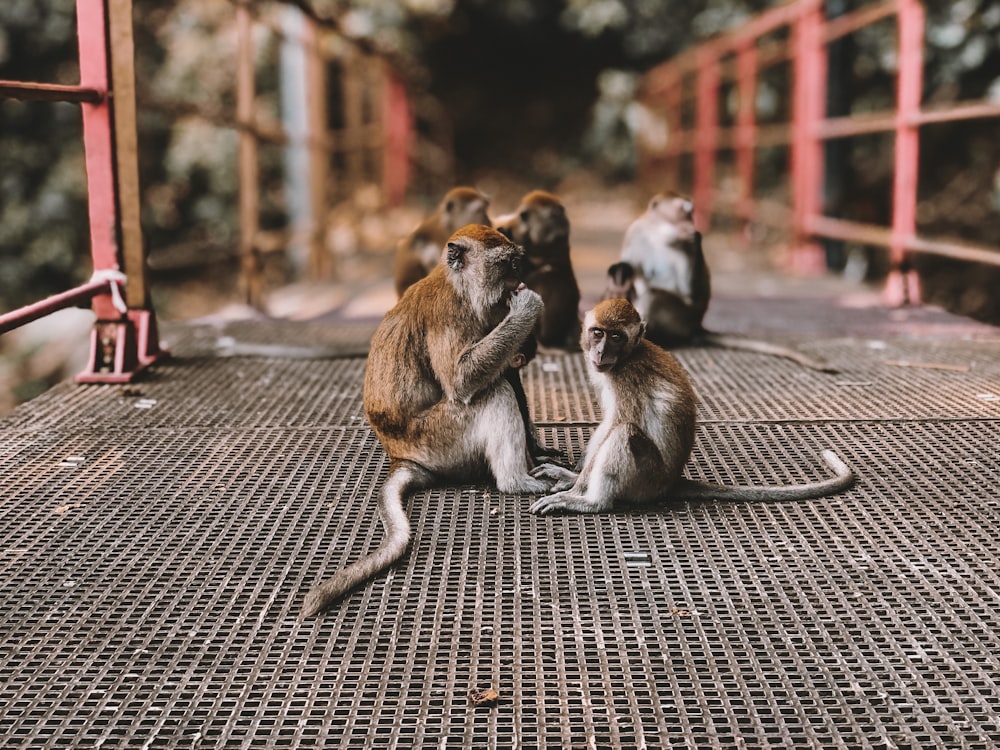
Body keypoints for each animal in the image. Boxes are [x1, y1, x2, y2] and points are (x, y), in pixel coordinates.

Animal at [300, 223, 560, 616]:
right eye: (507, 265)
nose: (517, 283)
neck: (458, 286)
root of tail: (401, 455)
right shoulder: (449, 315)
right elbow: (462, 381)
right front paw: (530, 306)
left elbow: (504, 370)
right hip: (441, 440)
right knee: (492, 391)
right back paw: (515, 481)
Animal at [532, 300, 852, 516]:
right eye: (598, 333)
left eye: (616, 337)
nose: (600, 352)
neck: (628, 356)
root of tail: (671, 482)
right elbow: (606, 424)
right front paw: (573, 476)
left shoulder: (627, 378)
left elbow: (618, 422)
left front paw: (576, 488)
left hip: (647, 479)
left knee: (624, 432)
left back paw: (591, 502)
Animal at [608, 191, 836, 374]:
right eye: (684, 210)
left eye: (690, 212)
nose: (691, 222)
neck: (660, 233)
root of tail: (696, 325)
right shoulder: (636, 232)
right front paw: (619, 279)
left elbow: (689, 291)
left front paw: (695, 237)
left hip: (682, 319)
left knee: (654, 296)